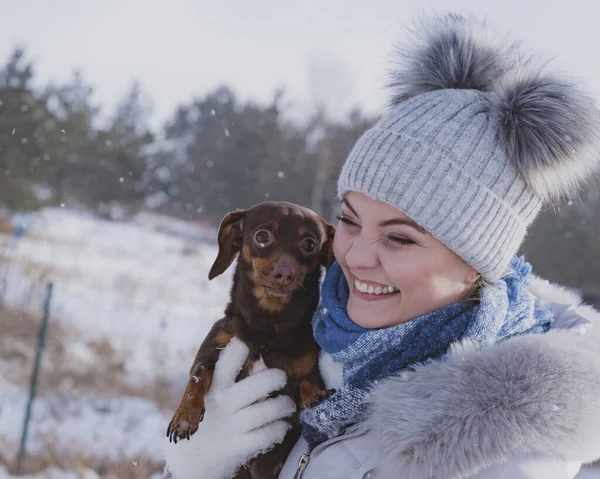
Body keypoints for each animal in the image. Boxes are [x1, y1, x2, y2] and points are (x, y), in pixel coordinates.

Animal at [169, 201, 336, 478]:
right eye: (262, 236)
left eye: (310, 244)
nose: (285, 274)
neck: (267, 327)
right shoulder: (215, 345)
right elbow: (197, 379)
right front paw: (184, 416)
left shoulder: (305, 367)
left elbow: (309, 381)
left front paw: (318, 396)